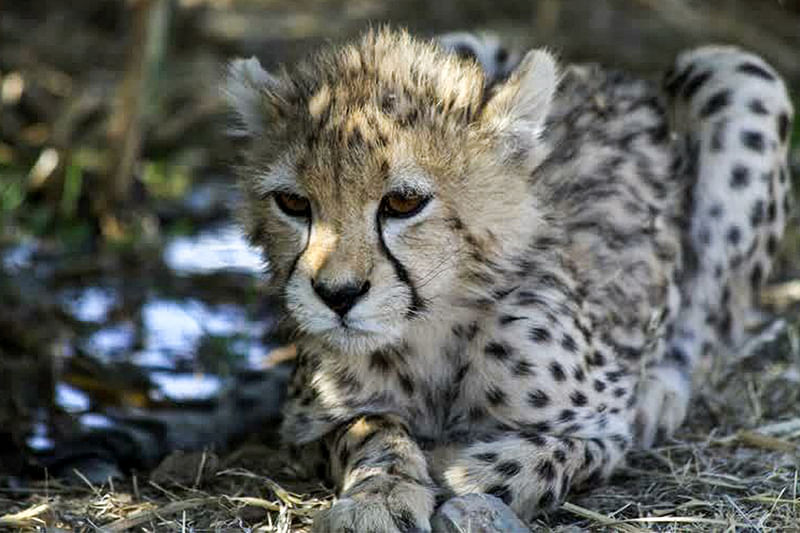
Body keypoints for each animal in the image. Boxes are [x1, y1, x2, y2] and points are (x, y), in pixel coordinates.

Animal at [223, 28, 792, 528]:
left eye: (403, 202)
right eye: (293, 203)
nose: (336, 296)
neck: (430, 331)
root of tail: (608, 73)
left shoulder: (606, 426)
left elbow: (552, 455)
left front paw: (458, 470)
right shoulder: (304, 425)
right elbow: (369, 427)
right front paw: (380, 495)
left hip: (738, 75)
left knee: (708, 331)